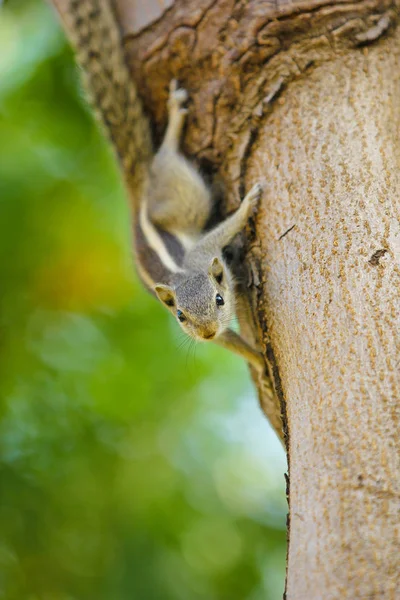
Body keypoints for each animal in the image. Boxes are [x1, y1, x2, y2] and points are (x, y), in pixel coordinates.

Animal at [59, 0, 266, 372]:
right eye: (180, 316)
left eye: (219, 299)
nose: (206, 333)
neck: (183, 273)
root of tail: (140, 191)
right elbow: (231, 342)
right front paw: (259, 361)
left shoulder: (205, 250)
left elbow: (224, 230)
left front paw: (247, 204)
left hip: (182, 190)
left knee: (167, 154)